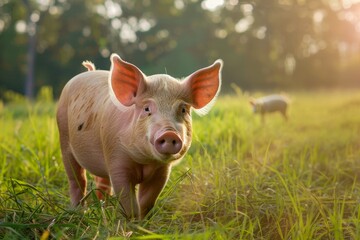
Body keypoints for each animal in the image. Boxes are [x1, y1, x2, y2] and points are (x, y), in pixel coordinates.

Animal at [56, 54, 222, 219]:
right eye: (147, 108)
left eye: (183, 110)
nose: (169, 133)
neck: (145, 161)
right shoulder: (116, 161)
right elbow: (127, 201)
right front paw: (131, 223)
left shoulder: (161, 172)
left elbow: (147, 200)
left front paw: (142, 223)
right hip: (64, 139)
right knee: (78, 180)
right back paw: (79, 211)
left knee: (102, 182)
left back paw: (104, 208)